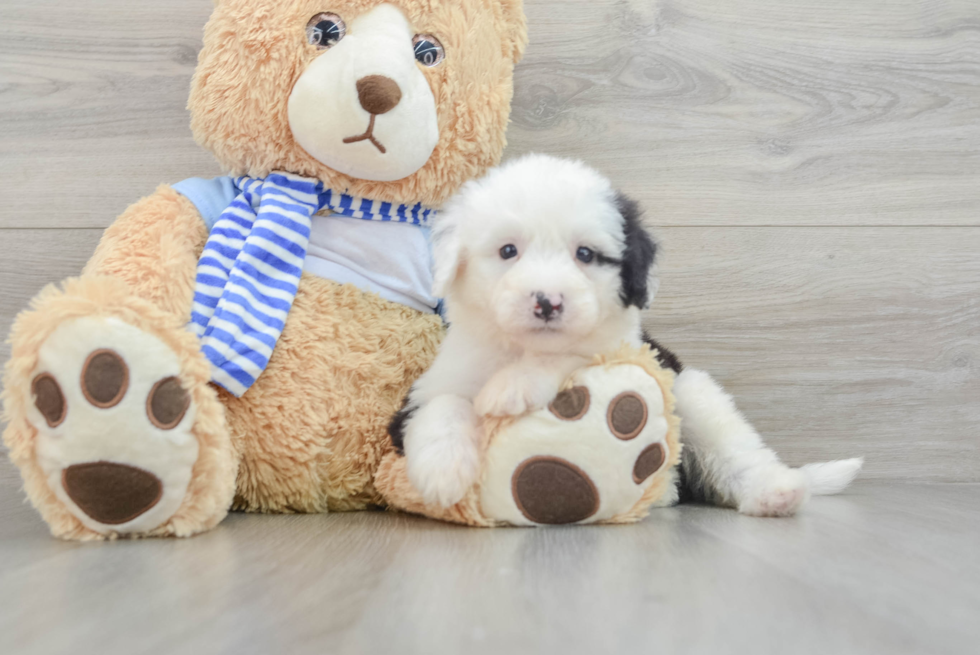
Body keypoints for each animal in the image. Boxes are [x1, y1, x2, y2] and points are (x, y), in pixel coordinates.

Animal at [394, 155, 860, 516]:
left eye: (585, 254)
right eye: (508, 251)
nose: (547, 302)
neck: (519, 349)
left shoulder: (627, 351)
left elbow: (576, 353)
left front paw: (514, 386)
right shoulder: (432, 384)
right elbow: (442, 403)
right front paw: (442, 470)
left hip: (691, 390)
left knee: (737, 450)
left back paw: (775, 492)